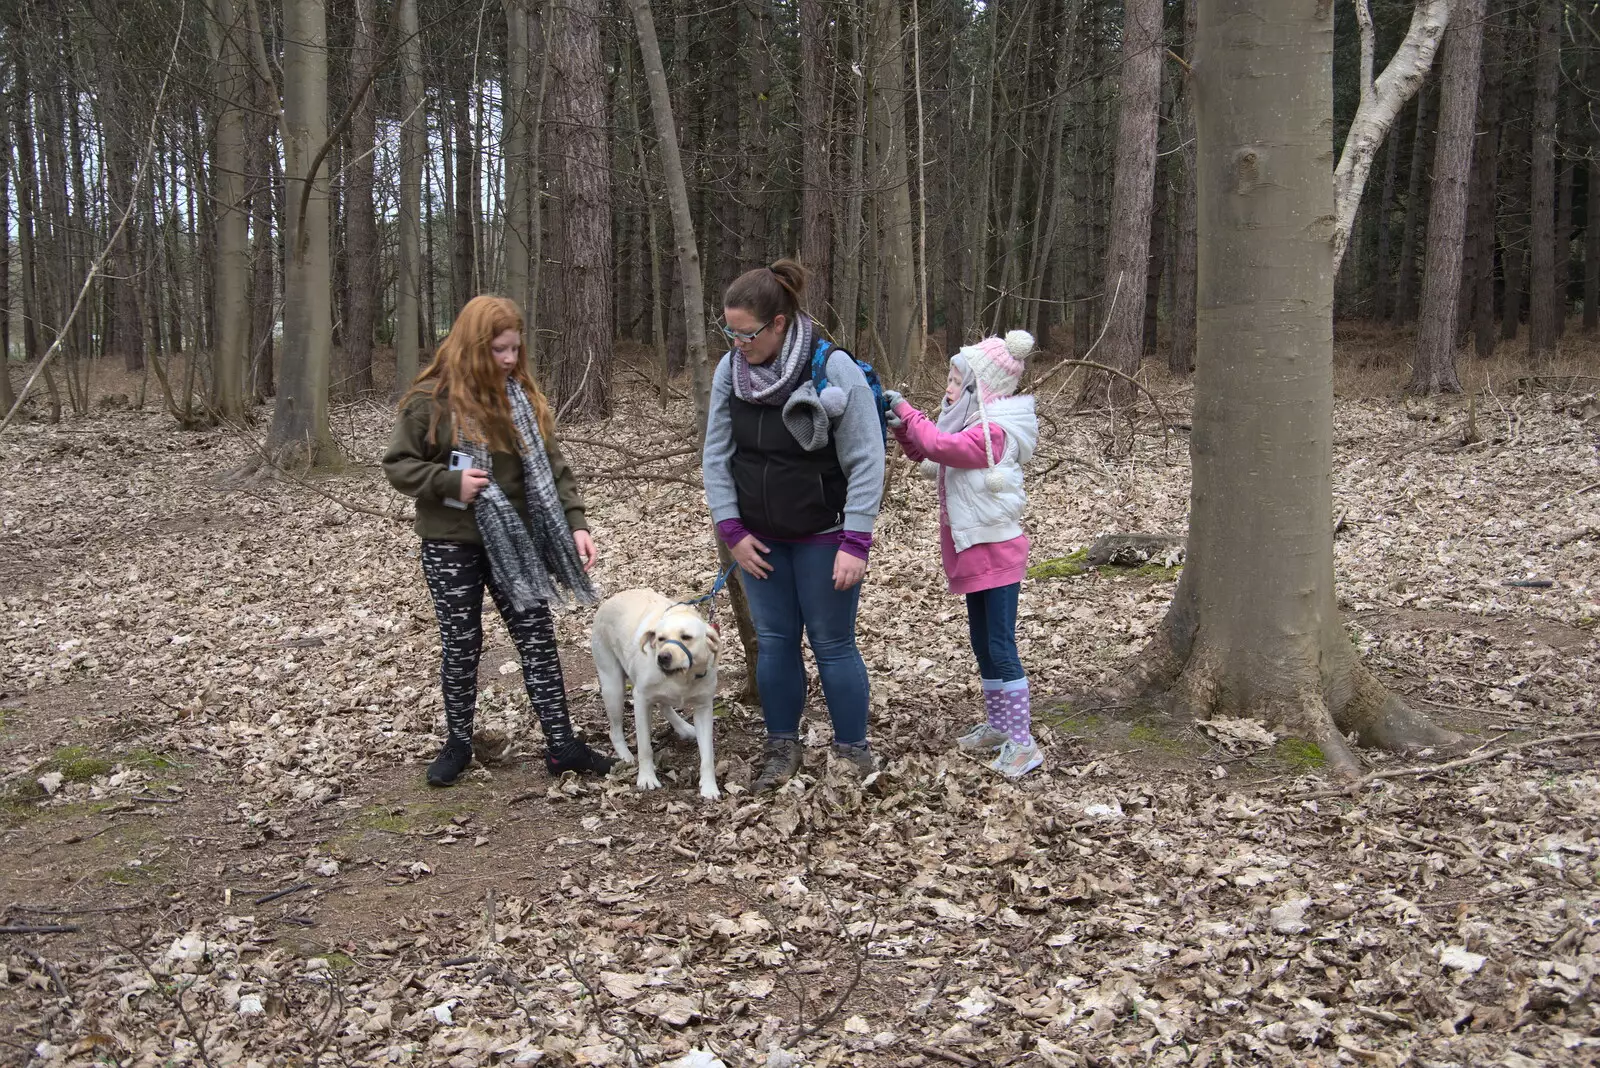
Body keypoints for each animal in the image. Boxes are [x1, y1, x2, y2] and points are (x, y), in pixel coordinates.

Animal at [592, 588, 723, 796]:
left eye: (686, 637)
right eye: (661, 639)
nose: (663, 657)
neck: (682, 677)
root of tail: (611, 599)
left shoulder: (704, 707)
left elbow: (708, 755)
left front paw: (709, 787)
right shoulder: (640, 700)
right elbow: (645, 747)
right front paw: (646, 777)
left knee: (664, 704)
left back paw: (683, 727)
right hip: (613, 688)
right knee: (615, 730)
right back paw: (625, 754)